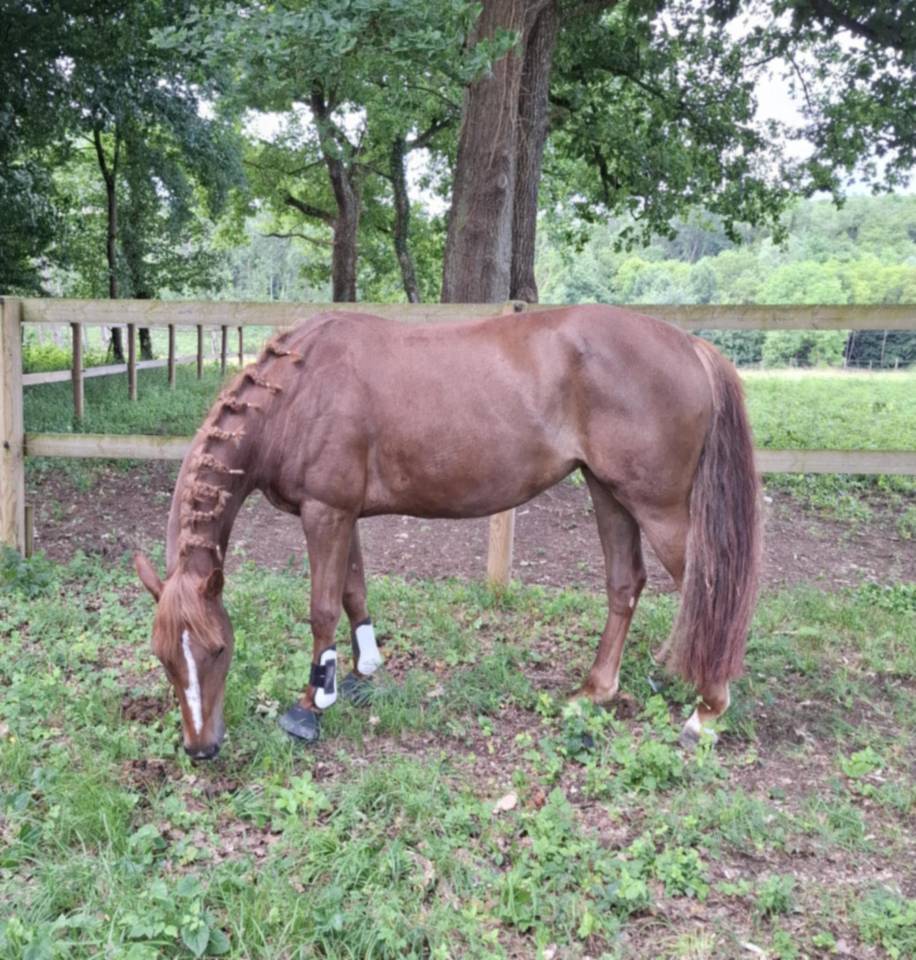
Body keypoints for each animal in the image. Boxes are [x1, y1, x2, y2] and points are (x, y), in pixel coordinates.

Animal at [135, 304, 760, 759]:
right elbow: (353, 592)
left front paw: (310, 705)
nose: (200, 748)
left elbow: (322, 609)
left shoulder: (325, 512)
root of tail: (691, 346)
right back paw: (596, 691)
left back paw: (706, 711)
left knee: (710, 592)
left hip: (658, 506)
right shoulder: (343, 513)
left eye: (217, 648)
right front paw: (360, 673)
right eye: (163, 656)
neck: (299, 389)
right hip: (609, 492)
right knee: (626, 583)